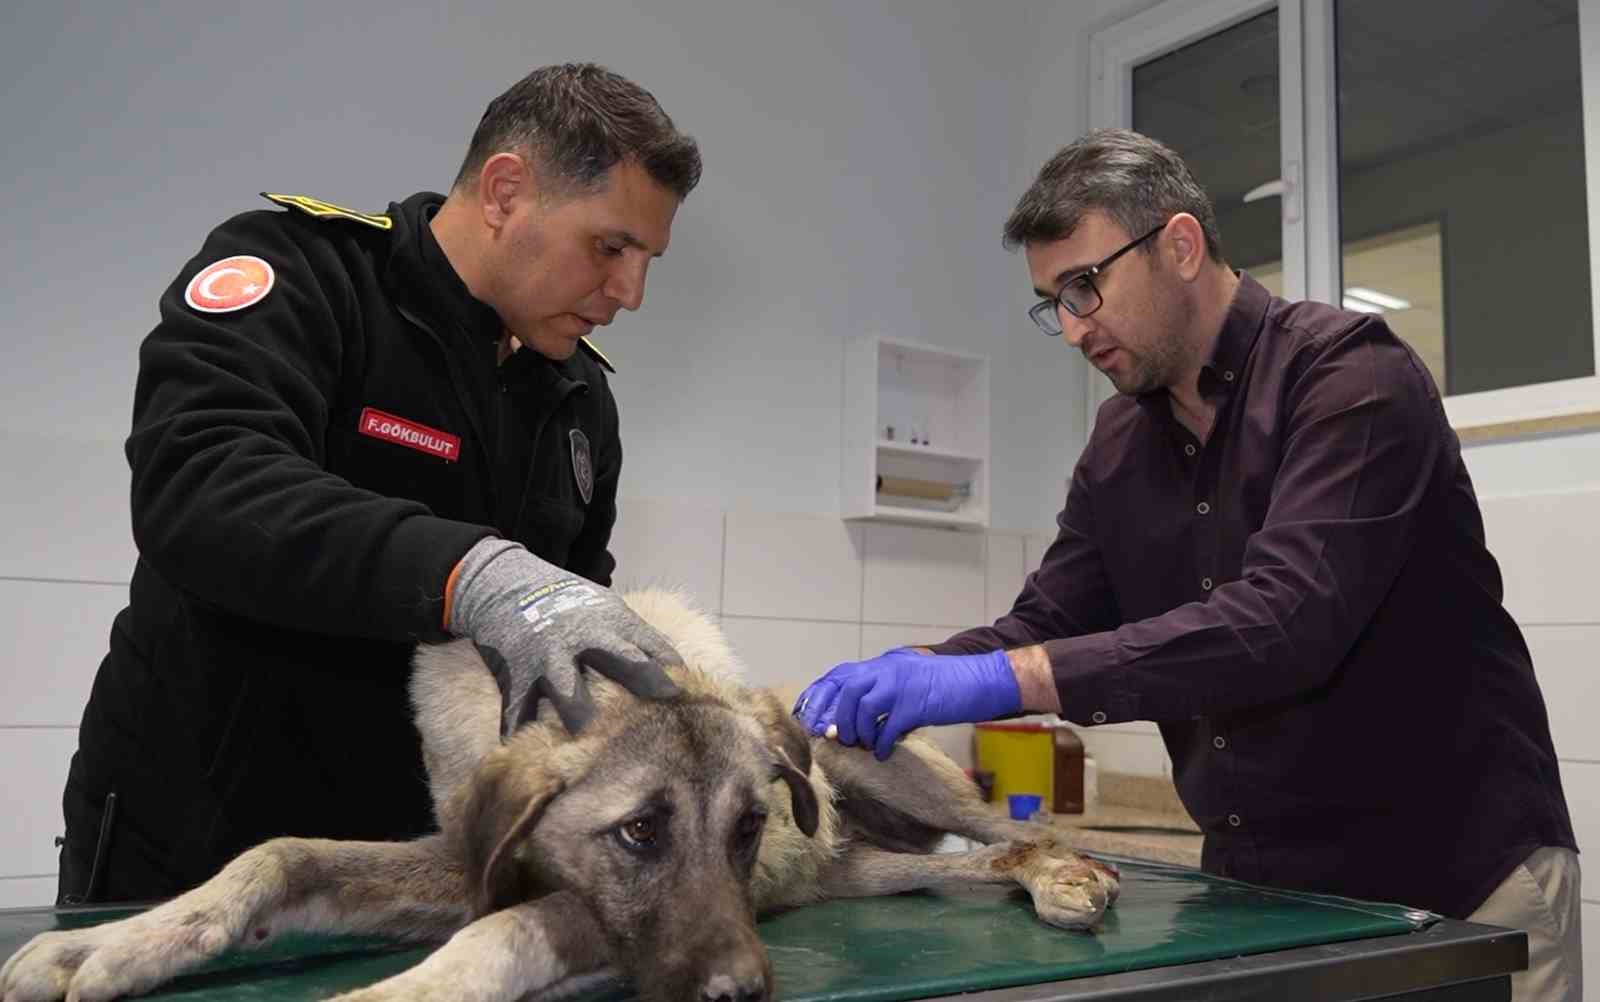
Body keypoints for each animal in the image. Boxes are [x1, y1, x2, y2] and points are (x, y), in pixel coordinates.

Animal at [0, 589, 1120, 992]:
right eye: (638, 833)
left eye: (747, 826)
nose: (743, 990)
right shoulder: (468, 860)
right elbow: (275, 857)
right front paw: (107, 945)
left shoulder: (580, 912)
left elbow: (510, 930)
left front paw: (411, 990)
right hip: (862, 869)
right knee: (969, 863)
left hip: (869, 756)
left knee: (1010, 832)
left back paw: (1073, 874)